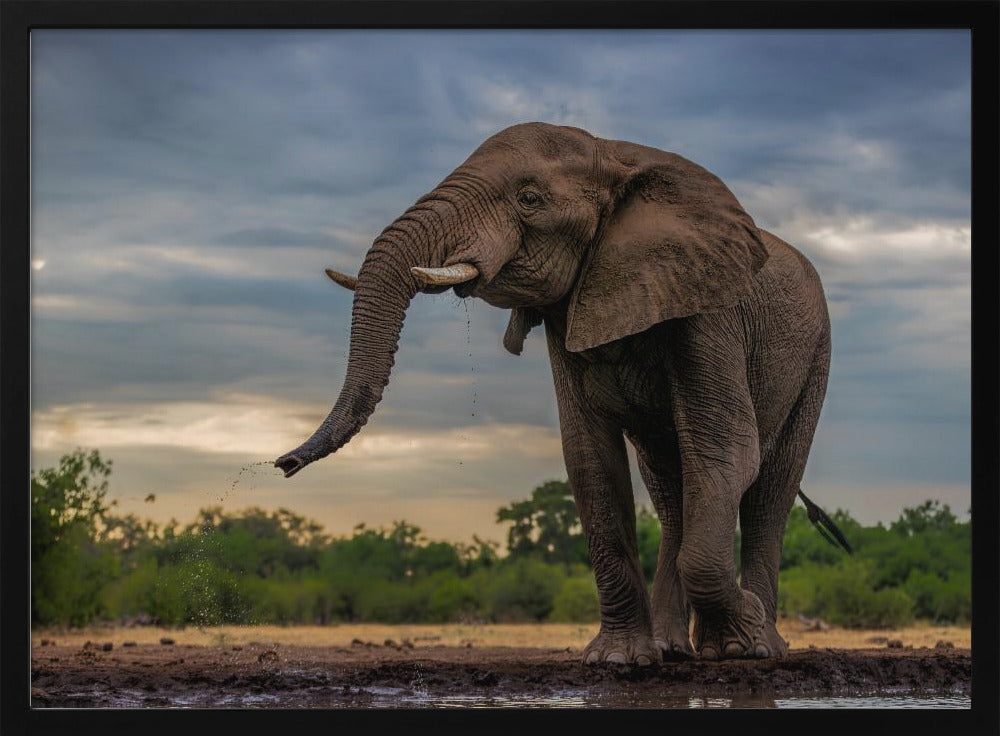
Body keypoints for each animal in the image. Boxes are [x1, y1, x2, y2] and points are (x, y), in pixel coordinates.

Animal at [275, 122, 839, 665]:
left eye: (529, 198)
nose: (282, 464)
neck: (614, 154)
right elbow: (590, 458)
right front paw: (617, 660)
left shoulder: (707, 306)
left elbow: (725, 449)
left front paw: (744, 634)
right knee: (670, 485)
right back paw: (674, 649)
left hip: (817, 355)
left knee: (769, 489)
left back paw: (759, 647)